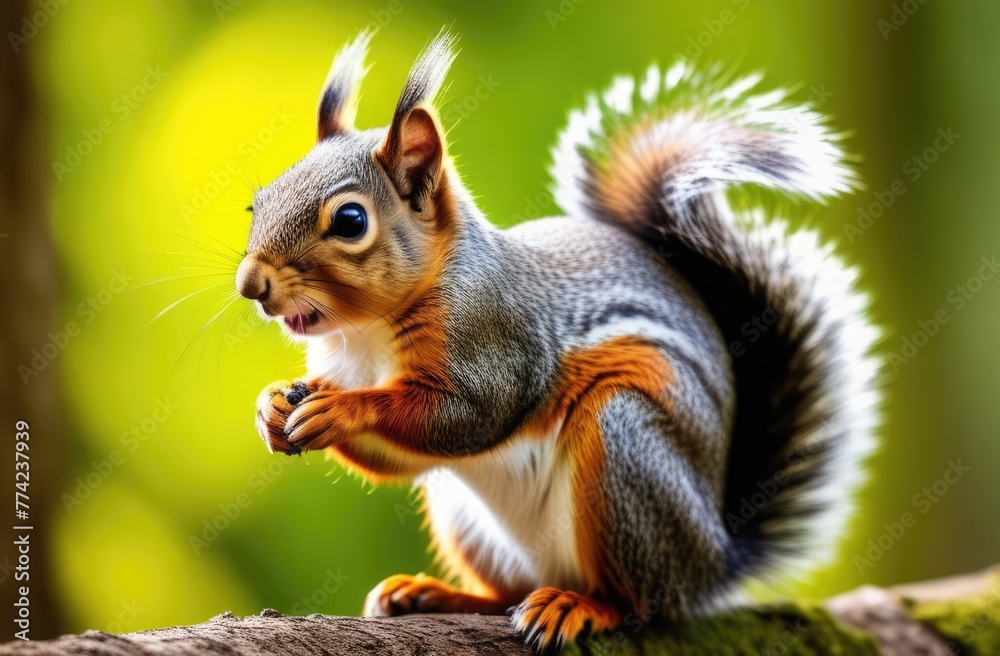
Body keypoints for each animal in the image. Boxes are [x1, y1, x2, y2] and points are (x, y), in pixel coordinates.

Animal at [235, 30, 880, 653]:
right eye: (256, 203)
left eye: (350, 221)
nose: (250, 284)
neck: (365, 331)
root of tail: (714, 561)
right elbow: (393, 457)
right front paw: (271, 406)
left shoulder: (498, 345)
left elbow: (465, 418)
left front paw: (343, 409)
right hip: (467, 516)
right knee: (506, 592)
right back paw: (436, 594)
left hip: (625, 451)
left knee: (643, 603)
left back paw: (583, 605)